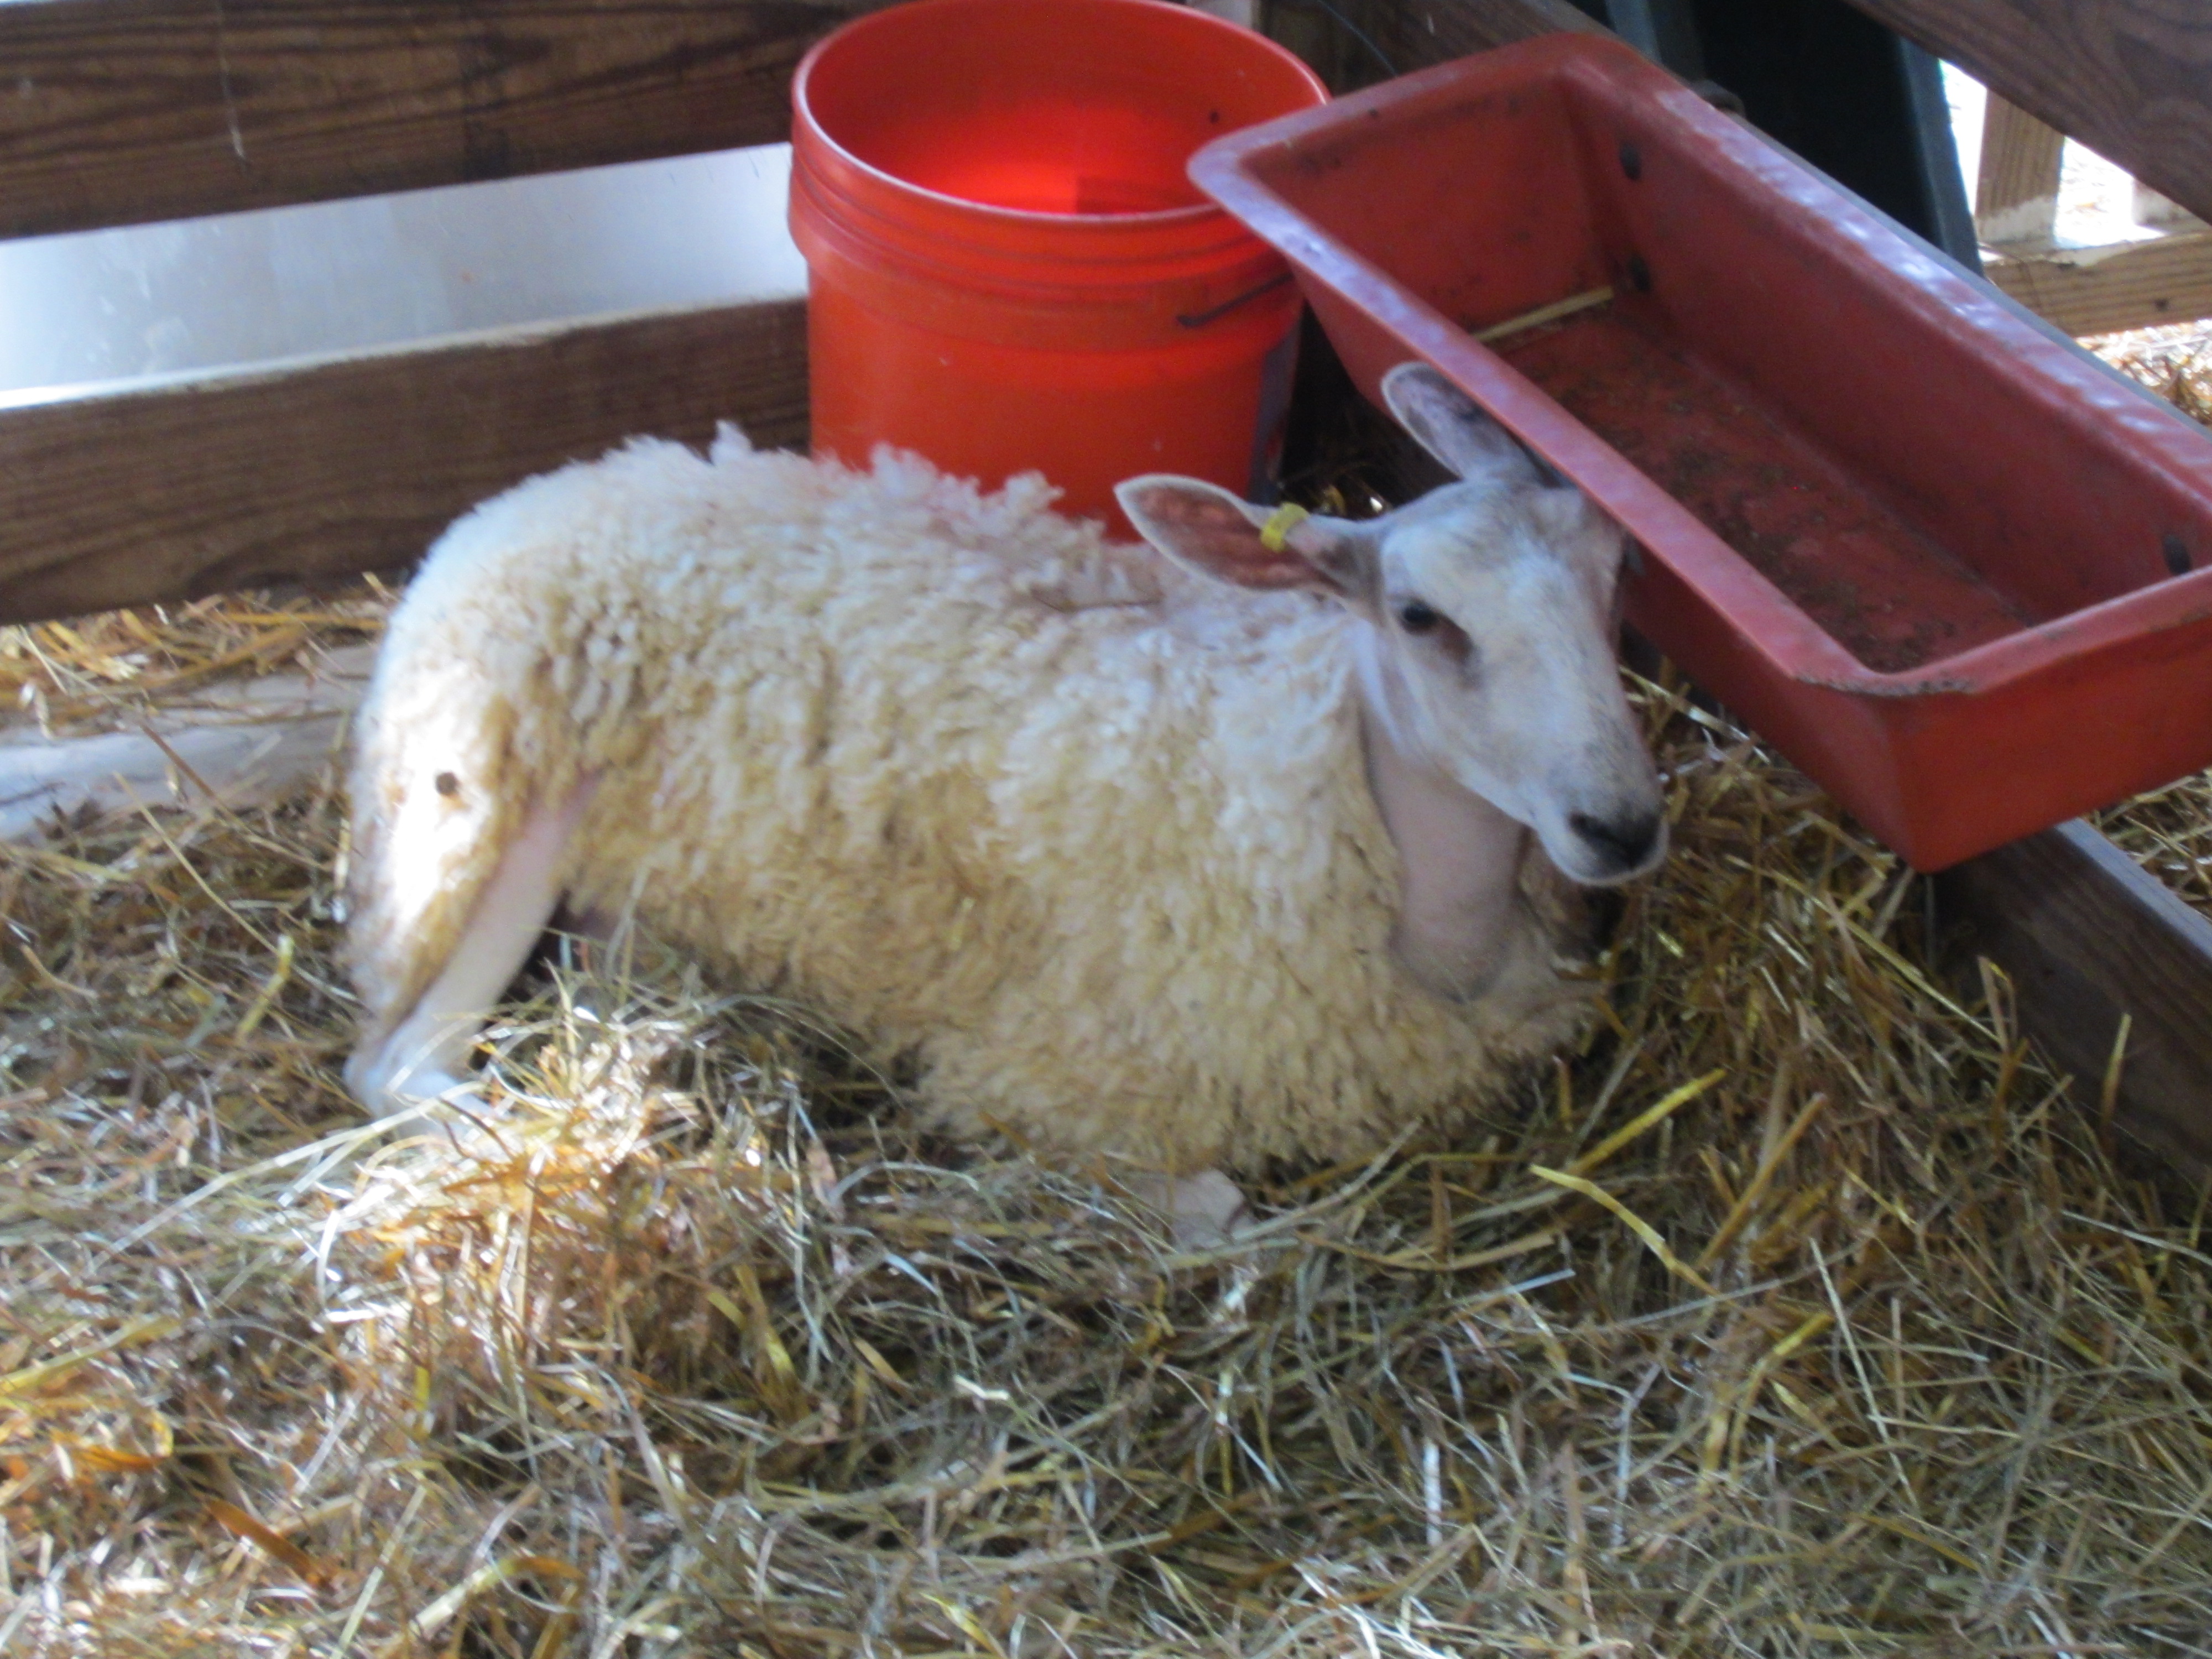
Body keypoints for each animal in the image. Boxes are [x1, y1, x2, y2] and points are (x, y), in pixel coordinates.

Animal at [342, 364, 1665, 1225]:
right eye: (1422, 618)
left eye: (1615, 580)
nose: (1622, 825)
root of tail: (527, 499)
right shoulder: (1043, 1079)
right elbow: (1219, 1211)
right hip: (488, 797)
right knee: (397, 1063)